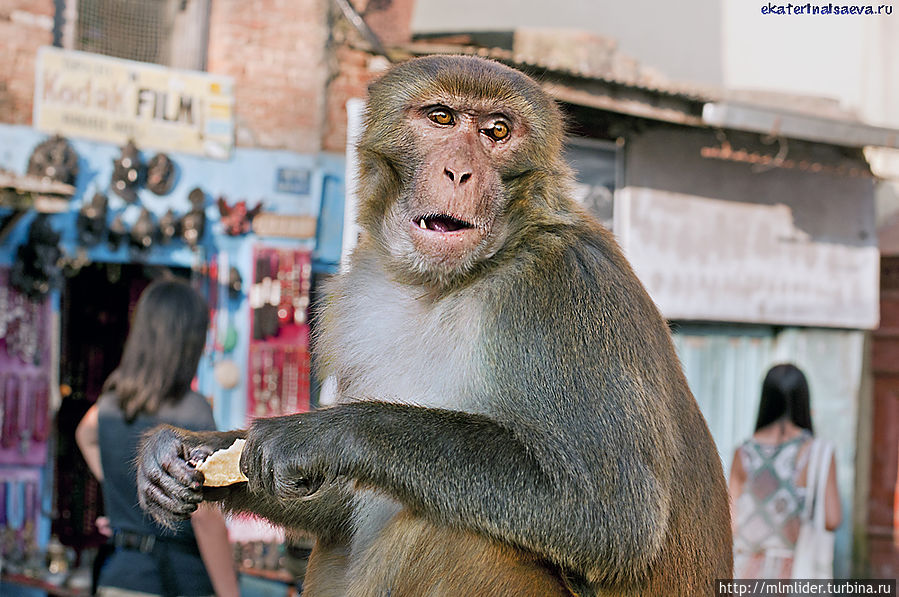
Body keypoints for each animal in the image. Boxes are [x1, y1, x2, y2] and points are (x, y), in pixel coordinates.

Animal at [137, 53, 736, 592]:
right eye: (442, 118)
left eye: (497, 132)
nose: (459, 171)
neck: (448, 282)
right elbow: (338, 506)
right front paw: (184, 451)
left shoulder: (567, 288)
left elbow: (613, 513)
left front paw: (324, 432)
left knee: (452, 531)